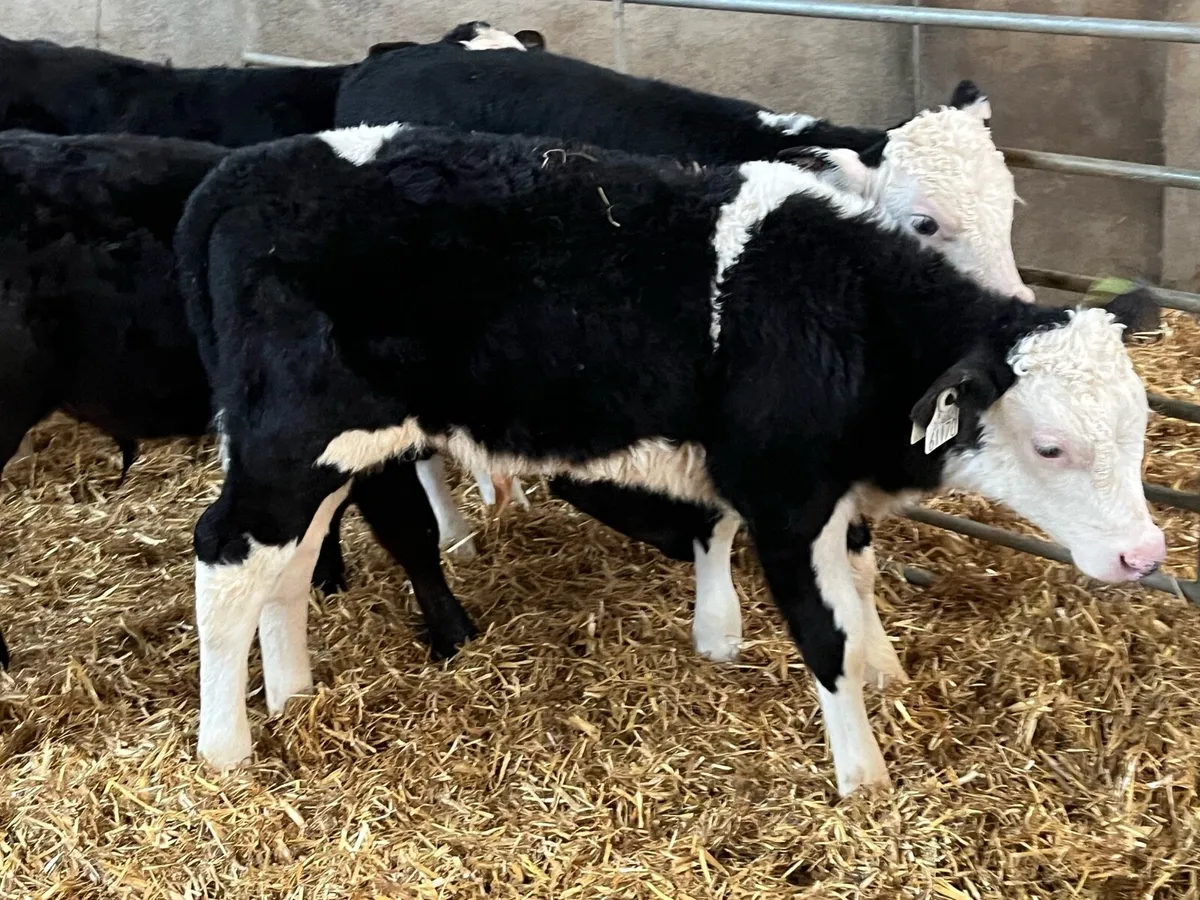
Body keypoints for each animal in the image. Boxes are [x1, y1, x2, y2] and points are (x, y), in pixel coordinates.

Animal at [176, 124, 1163, 794]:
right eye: (1051, 445)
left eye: (1142, 426)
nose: (1145, 554)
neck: (843, 312)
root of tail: (237, 173)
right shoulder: (782, 495)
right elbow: (826, 634)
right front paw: (864, 778)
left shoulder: (832, 492)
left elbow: (861, 582)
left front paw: (891, 675)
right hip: (290, 439)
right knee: (225, 554)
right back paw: (225, 750)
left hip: (317, 452)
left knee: (288, 563)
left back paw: (295, 697)